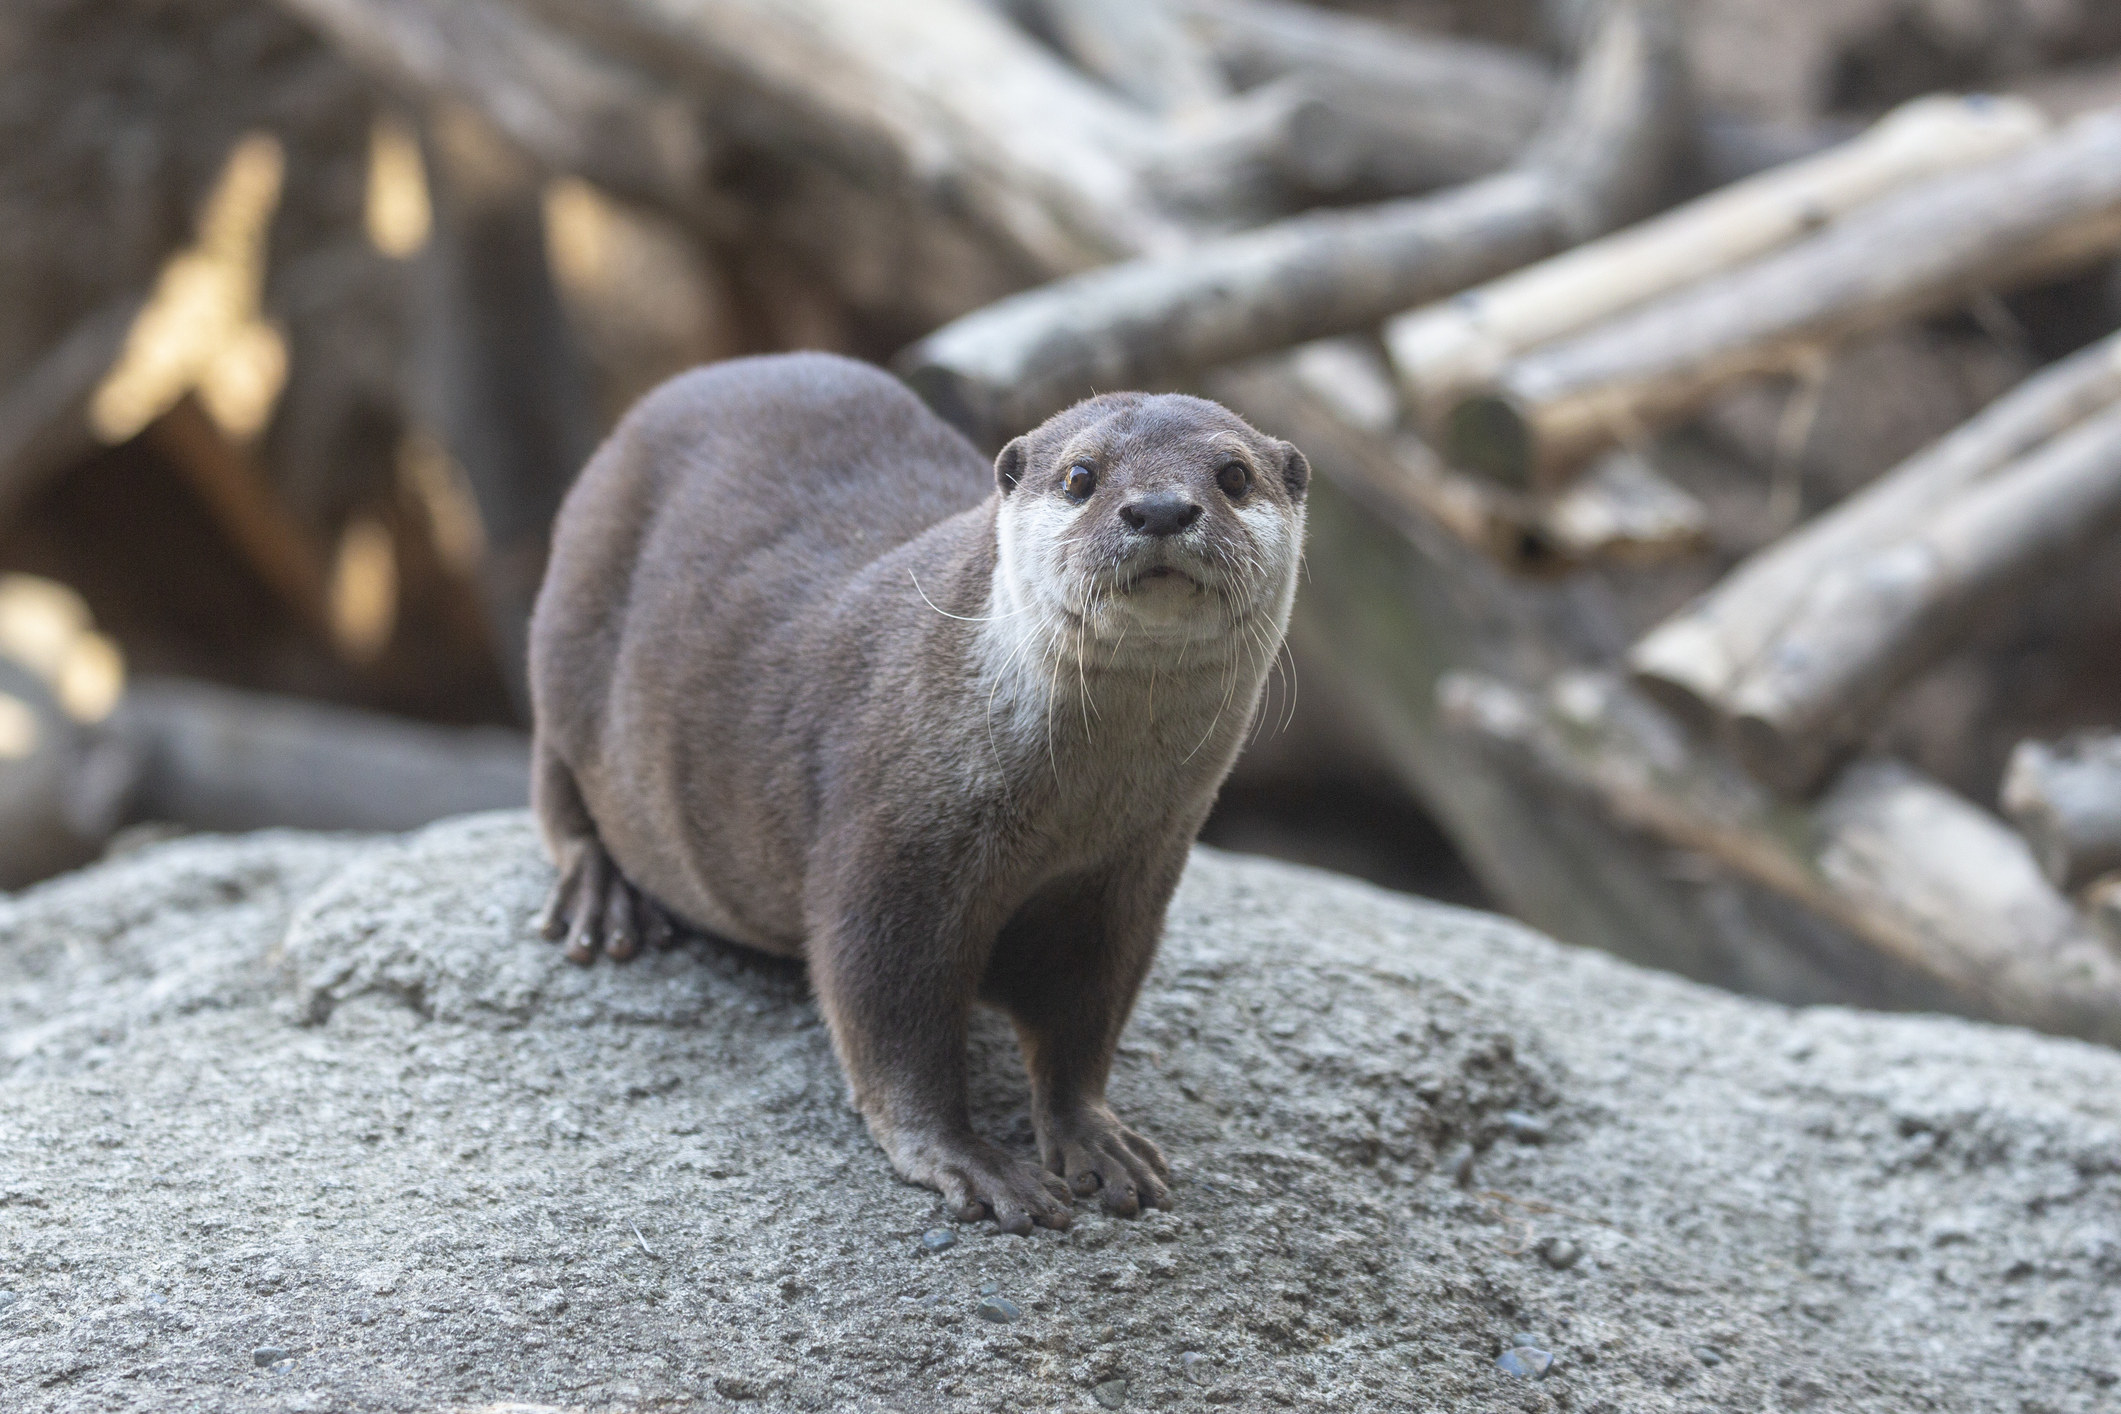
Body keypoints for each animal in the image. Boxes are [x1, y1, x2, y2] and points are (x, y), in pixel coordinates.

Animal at [526, 351, 1306, 1229]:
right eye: (1081, 476)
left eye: (1232, 475)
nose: (1162, 509)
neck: (1075, 808)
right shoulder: (894, 843)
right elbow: (888, 1018)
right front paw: (968, 1161)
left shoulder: (1131, 872)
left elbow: (1085, 1018)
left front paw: (1095, 1138)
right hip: (564, 644)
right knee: (556, 790)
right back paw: (601, 899)